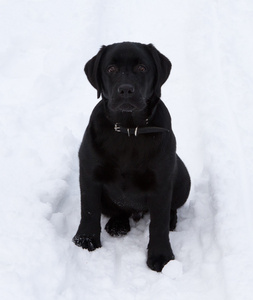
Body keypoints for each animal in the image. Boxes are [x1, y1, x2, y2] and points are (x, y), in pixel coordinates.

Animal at [72, 42, 191, 272]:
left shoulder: (161, 182)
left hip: (182, 176)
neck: (128, 130)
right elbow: (89, 210)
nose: (126, 89)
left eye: (142, 68)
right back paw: (117, 225)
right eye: (110, 69)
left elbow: (158, 223)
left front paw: (161, 256)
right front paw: (85, 240)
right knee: (118, 211)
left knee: (170, 209)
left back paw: (171, 221)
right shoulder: (89, 174)